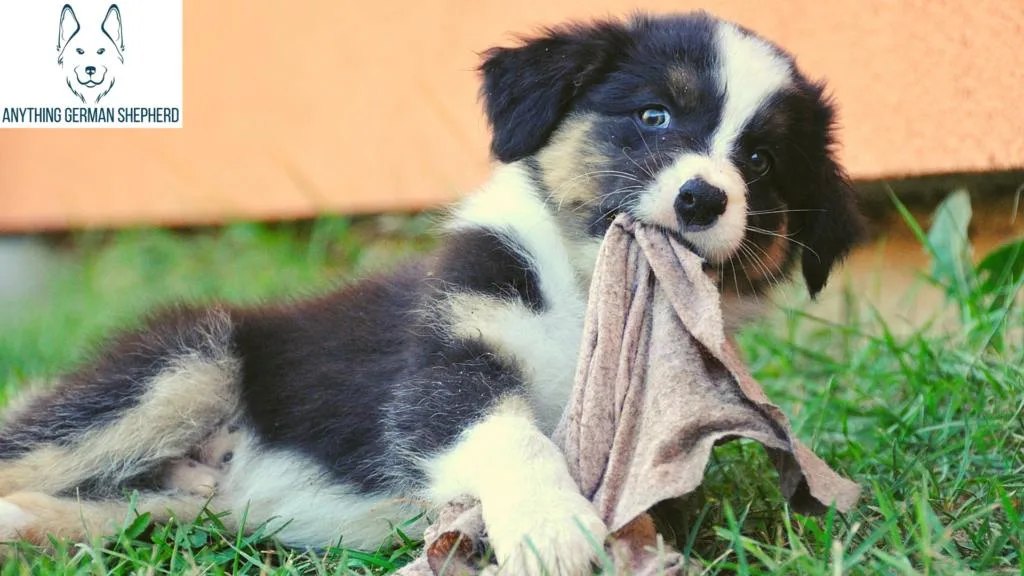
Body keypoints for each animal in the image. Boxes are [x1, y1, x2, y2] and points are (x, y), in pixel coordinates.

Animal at [0, 10, 864, 573]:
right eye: (654, 115)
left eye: (759, 162)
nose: (702, 200)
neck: (583, 291)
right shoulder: (447, 363)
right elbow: (515, 435)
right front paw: (554, 529)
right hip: (185, 363)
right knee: (34, 449)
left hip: (175, 499)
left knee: (109, 506)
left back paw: (26, 527)